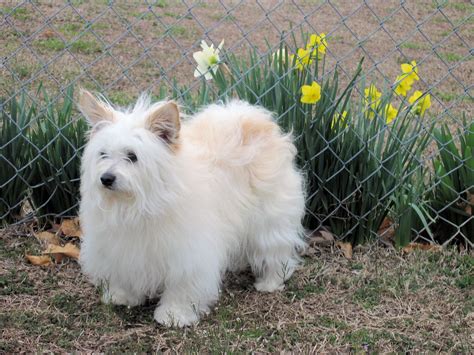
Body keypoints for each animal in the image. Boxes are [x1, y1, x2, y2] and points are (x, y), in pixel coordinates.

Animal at [77, 90, 308, 330]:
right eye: (103, 154)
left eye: (132, 156)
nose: (106, 178)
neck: (137, 204)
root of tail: (251, 119)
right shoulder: (121, 249)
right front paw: (122, 296)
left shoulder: (188, 254)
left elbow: (182, 287)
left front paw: (174, 314)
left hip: (271, 220)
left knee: (275, 250)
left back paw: (270, 282)